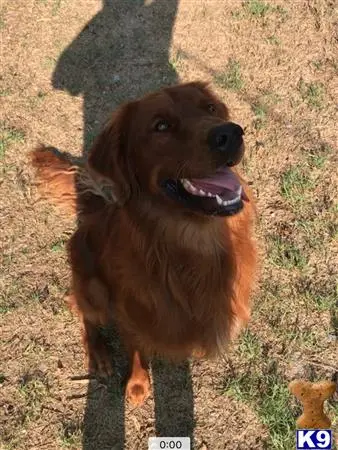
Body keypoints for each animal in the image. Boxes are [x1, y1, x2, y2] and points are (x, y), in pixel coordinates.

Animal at [32, 81, 258, 408]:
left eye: (210, 108)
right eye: (161, 125)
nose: (230, 134)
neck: (192, 244)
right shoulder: (129, 315)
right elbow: (137, 349)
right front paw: (137, 383)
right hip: (92, 287)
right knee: (85, 314)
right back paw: (99, 355)